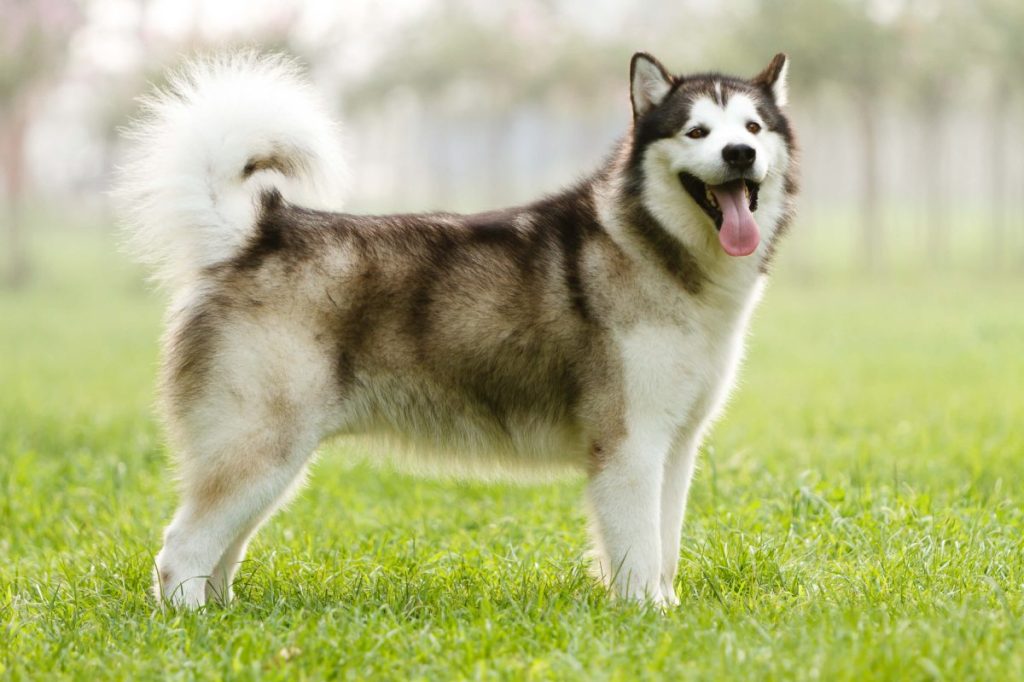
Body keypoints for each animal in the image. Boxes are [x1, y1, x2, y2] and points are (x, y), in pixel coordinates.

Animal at [114, 51, 798, 606]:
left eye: (753, 128)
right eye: (697, 131)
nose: (739, 155)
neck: (658, 251)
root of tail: (258, 230)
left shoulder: (675, 445)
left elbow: (665, 548)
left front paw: (670, 611)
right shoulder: (629, 444)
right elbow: (637, 552)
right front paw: (645, 618)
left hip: (270, 463)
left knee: (218, 551)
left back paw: (226, 616)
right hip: (261, 446)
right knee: (180, 550)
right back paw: (193, 624)